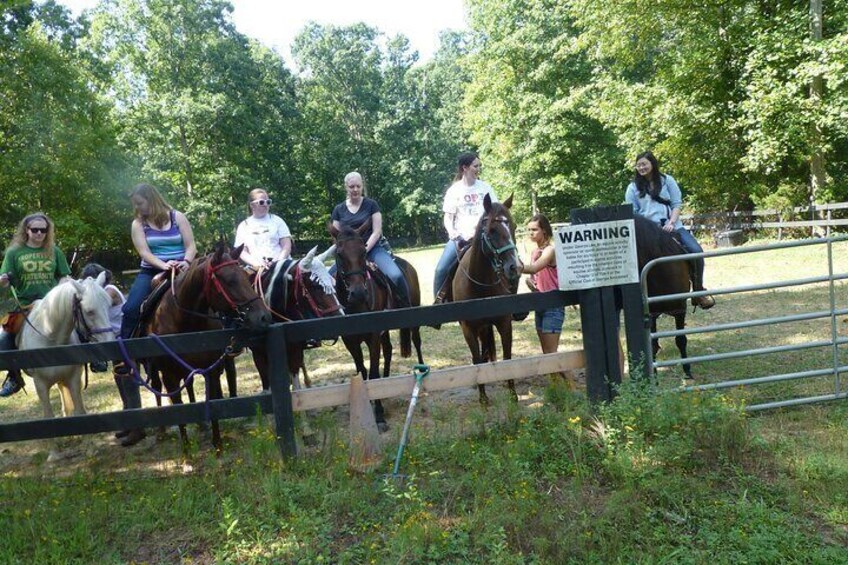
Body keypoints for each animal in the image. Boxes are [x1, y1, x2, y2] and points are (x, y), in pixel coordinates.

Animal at [18, 270, 116, 420]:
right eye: (89, 311)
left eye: (109, 306)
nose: (110, 342)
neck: (51, 339)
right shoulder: (40, 385)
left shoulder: (74, 379)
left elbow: (79, 410)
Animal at [142, 242, 268, 450]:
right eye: (230, 280)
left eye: (245, 275)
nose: (263, 317)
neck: (185, 323)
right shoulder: (169, 377)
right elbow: (179, 412)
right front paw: (187, 453)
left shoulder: (212, 371)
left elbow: (214, 404)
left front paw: (217, 446)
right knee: (157, 387)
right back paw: (161, 431)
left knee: (189, 385)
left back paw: (201, 425)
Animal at [330, 221, 424, 432]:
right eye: (339, 253)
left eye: (364, 251)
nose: (358, 293)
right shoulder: (350, 341)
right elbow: (363, 372)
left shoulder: (372, 336)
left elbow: (372, 373)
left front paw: (379, 415)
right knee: (388, 350)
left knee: (416, 341)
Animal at [450, 192, 524, 404]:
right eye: (491, 230)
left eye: (514, 226)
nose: (515, 267)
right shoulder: (468, 329)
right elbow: (476, 360)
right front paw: (483, 399)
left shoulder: (504, 323)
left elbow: (507, 356)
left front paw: (513, 395)